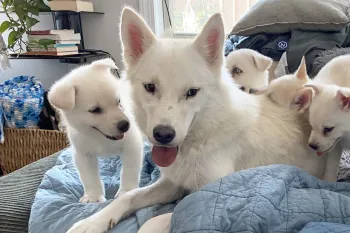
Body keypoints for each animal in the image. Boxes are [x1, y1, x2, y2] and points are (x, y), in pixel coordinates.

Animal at [48, 57, 144, 202]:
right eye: (95, 110)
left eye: (118, 101)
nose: (125, 125)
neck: (100, 138)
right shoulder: (83, 154)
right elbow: (89, 177)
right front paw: (93, 197)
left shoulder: (132, 145)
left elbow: (129, 170)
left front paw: (127, 191)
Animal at [65, 8, 328, 232]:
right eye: (150, 87)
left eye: (192, 92)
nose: (163, 135)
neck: (200, 139)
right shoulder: (172, 184)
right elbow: (130, 196)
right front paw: (94, 221)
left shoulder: (210, 195)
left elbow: (161, 218)